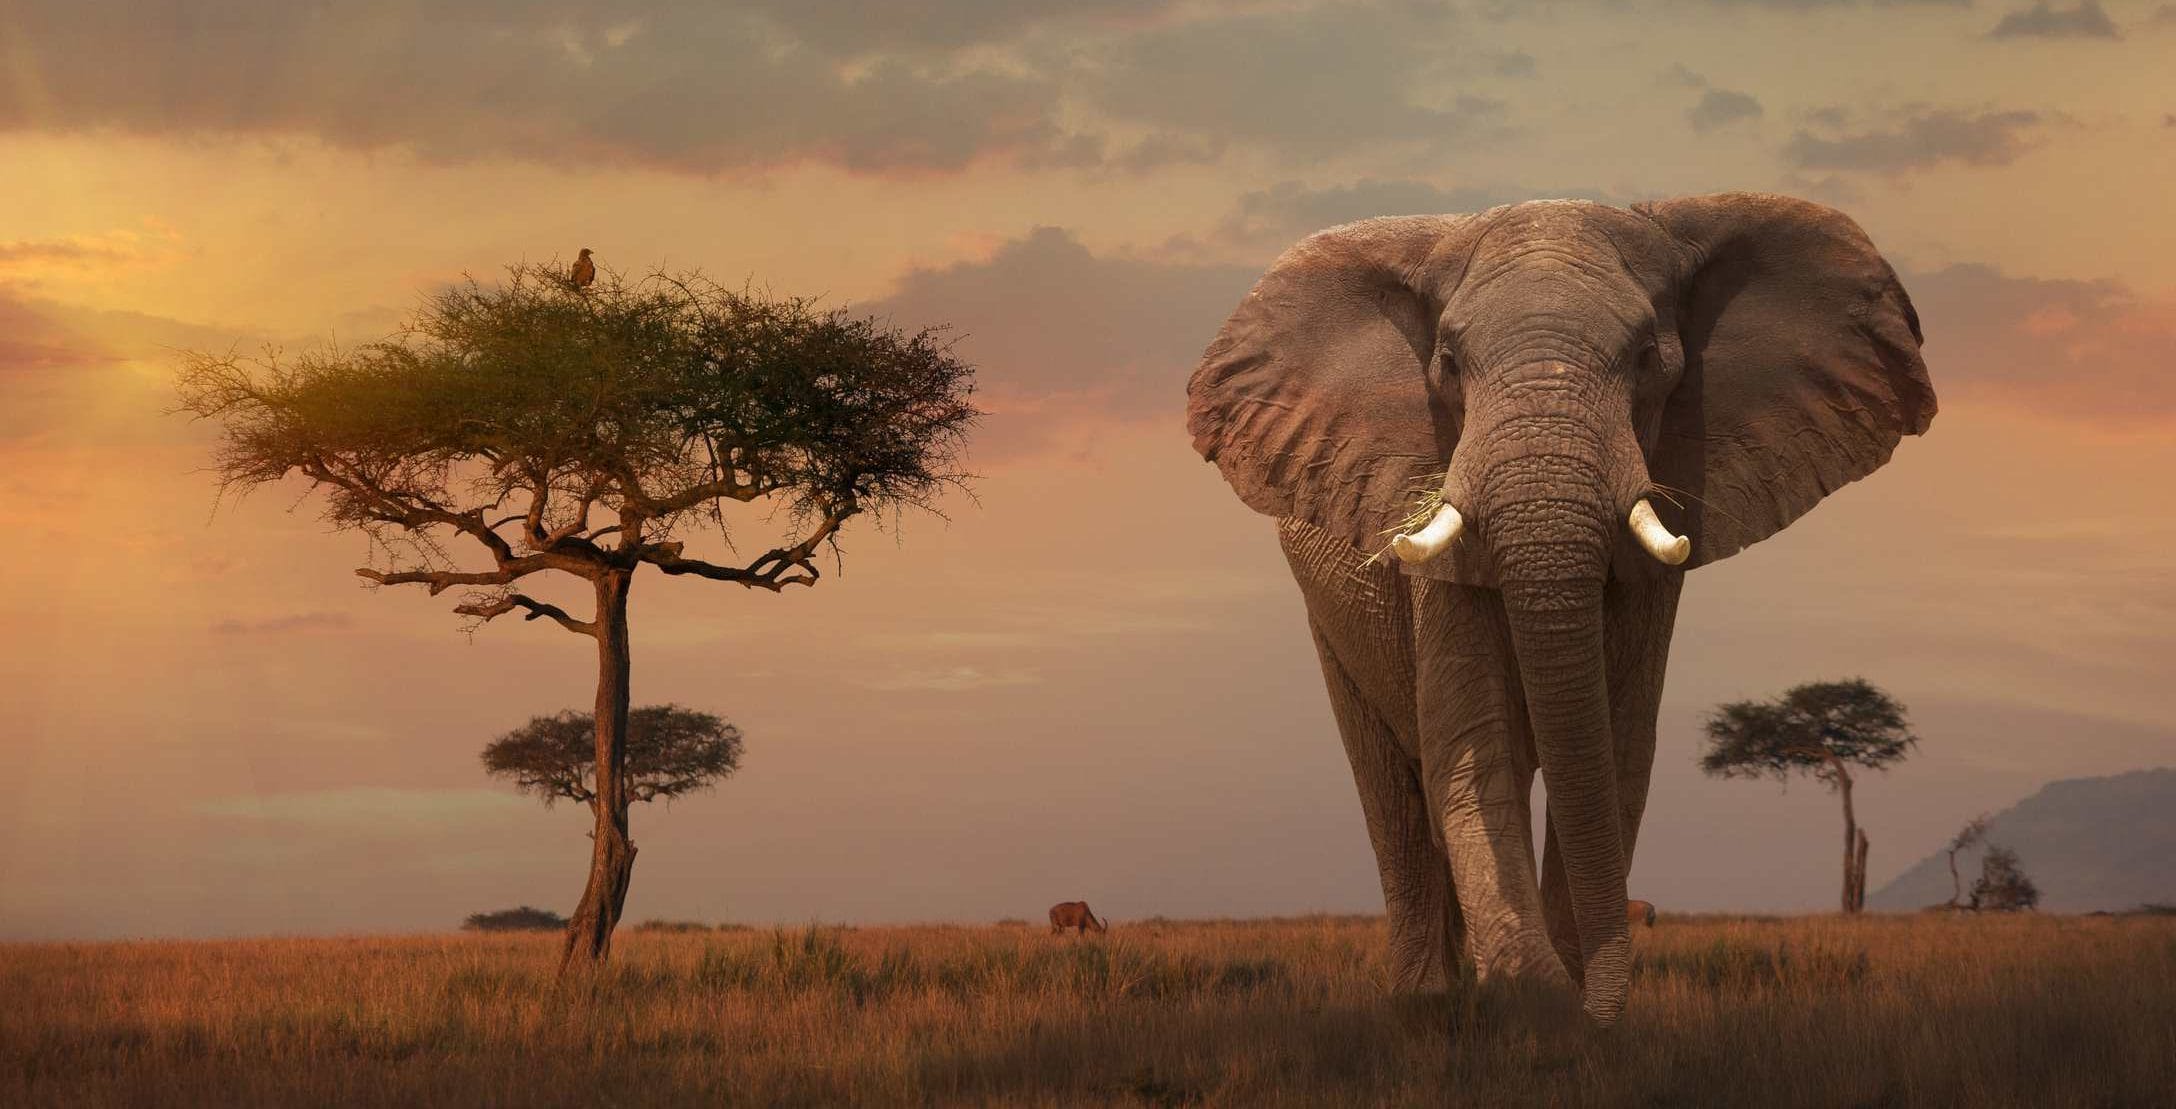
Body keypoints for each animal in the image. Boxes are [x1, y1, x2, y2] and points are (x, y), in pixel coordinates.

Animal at [1186, 194, 1934, 1024]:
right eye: (1449, 363)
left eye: (1647, 359)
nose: (1596, 1009)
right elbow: (1476, 740)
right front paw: (1530, 996)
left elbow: (1617, 747)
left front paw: (1567, 1009)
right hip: (1328, 613)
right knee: (1396, 790)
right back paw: (1428, 1001)